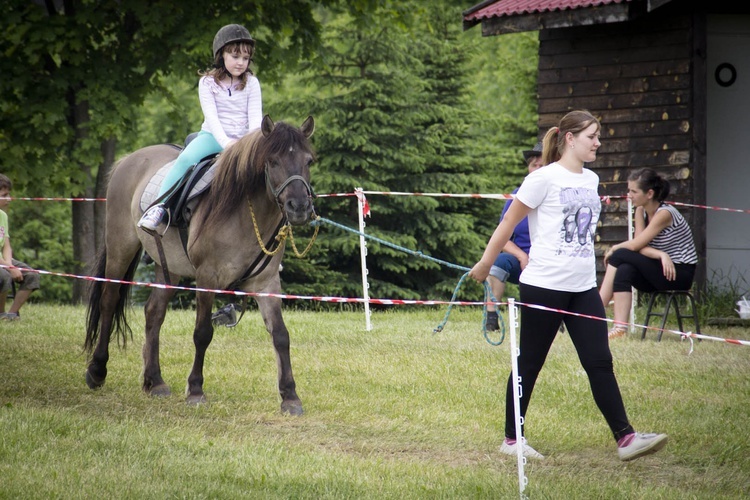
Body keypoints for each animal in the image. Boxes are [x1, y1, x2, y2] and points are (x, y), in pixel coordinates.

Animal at [84, 116, 314, 414]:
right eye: (273, 161)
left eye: (309, 161)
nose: (299, 207)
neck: (244, 212)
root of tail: (129, 159)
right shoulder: (207, 278)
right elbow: (203, 333)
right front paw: (195, 389)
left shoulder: (266, 283)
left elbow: (280, 335)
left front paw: (290, 396)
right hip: (120, 248)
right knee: (109, 300)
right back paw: (97, 370)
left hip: (168, 268)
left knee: (153, 312)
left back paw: (154, 381)